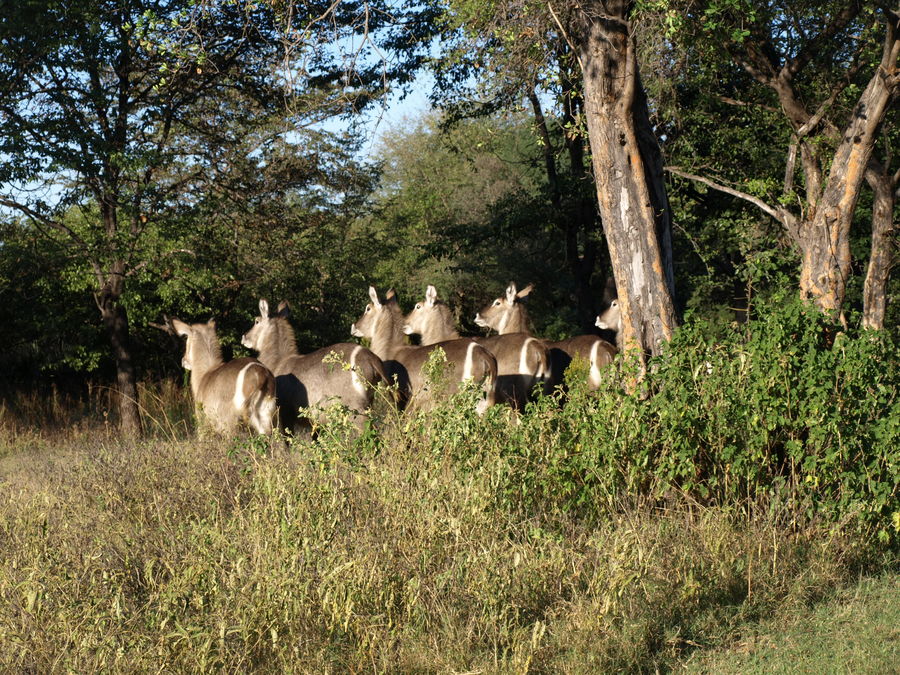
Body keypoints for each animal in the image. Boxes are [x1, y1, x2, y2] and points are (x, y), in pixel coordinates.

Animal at [241, 300, 388, 434]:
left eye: (256, 321)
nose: (244, 337)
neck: (280, 361)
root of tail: (371, 358)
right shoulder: (315, 422)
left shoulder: (285, 413)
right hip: (369, 403)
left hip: (357, 409)